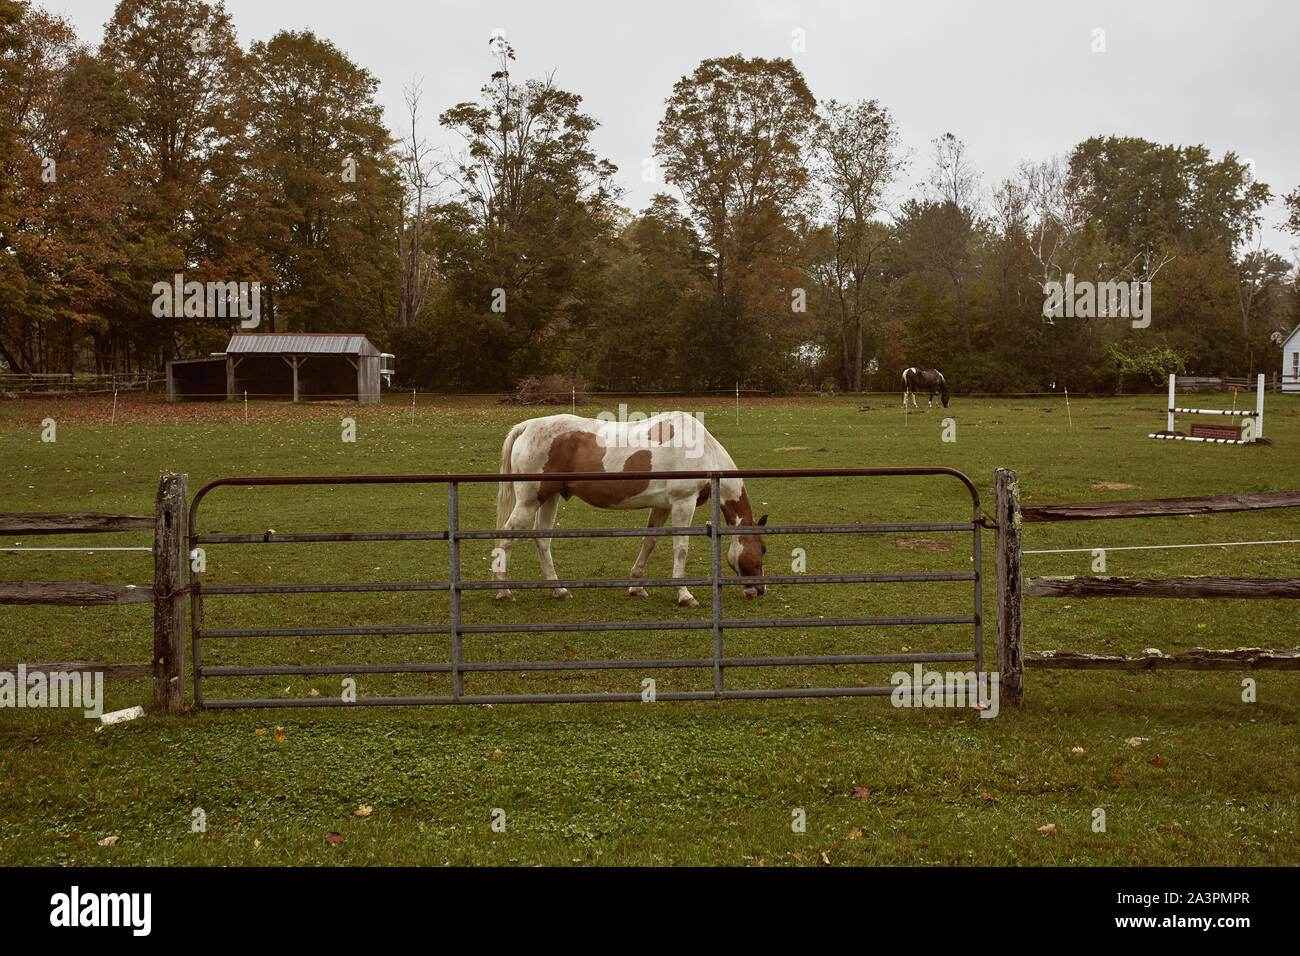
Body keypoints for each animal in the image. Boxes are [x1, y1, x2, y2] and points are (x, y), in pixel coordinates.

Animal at [491, 411, 764, 606]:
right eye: (763, 548)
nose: (759, 589)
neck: (703, 450)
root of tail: (527, 426)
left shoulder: (663, 506)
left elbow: (649, 542)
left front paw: (636, 586)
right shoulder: (683, 503)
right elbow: (681, 548)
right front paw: (685, 594)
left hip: (549, 498)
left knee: (542, 540)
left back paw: (560, 590)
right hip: (529, 501)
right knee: (507, 538)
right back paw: (504, 591)